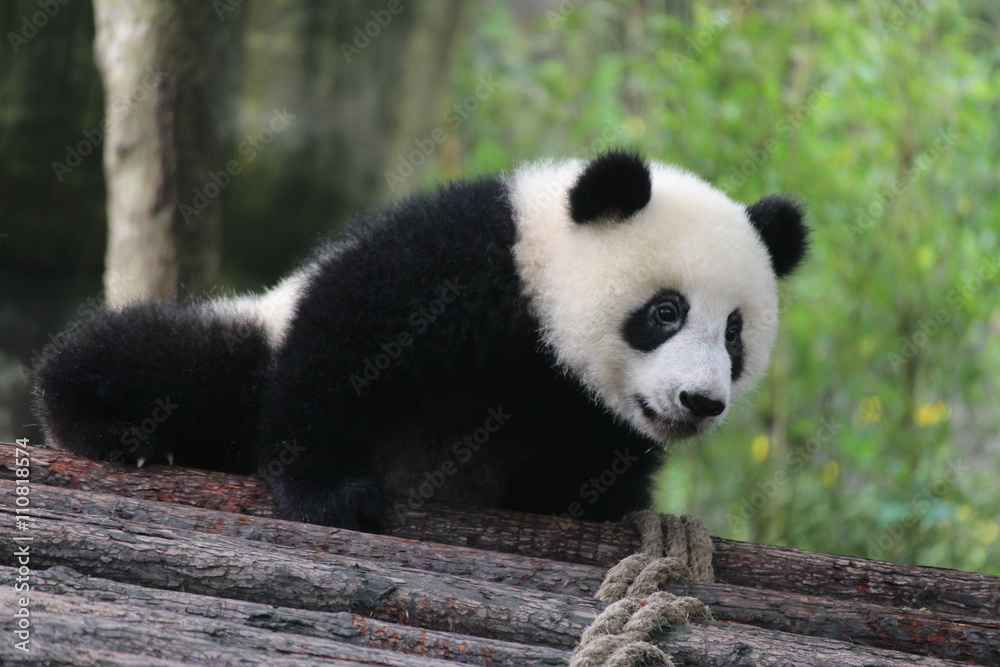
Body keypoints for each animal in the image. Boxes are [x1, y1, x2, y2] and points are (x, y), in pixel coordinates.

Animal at [33, 150, 807, 532]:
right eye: (666, 311)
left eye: (735, 333)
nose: (699, 401)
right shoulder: (470, 258)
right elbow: (345, 343)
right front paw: (332, 496)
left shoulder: (584, 416)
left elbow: (583, 473)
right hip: (249, 334)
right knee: (177, 362)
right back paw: (113, 427)